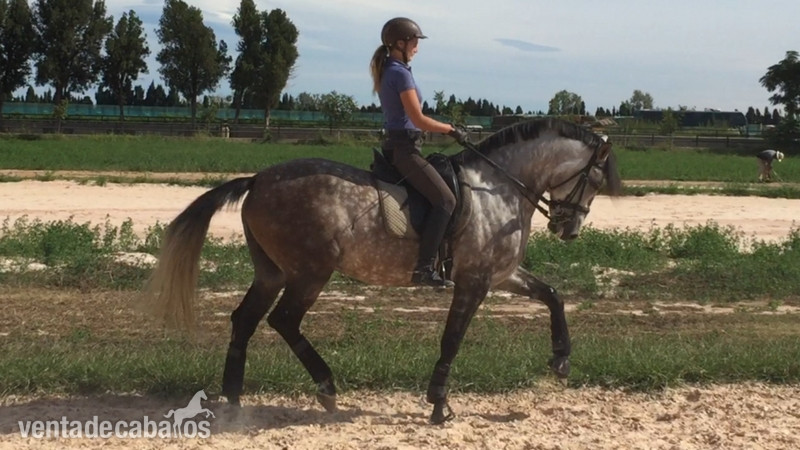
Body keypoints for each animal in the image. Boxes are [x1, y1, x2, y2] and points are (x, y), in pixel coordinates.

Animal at [143, 118, 623, 424]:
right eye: (595, 181)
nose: (568, 230)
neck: (499, 187)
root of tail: (258, 179)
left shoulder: (500, 273)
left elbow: (553, 295)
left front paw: (561, 359)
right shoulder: (475, 280)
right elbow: (453, 339)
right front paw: (439, 405)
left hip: (272, 273)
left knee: (245, 319)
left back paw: (234, 399)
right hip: (310, 272)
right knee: (283, 320)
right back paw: (326, 388)